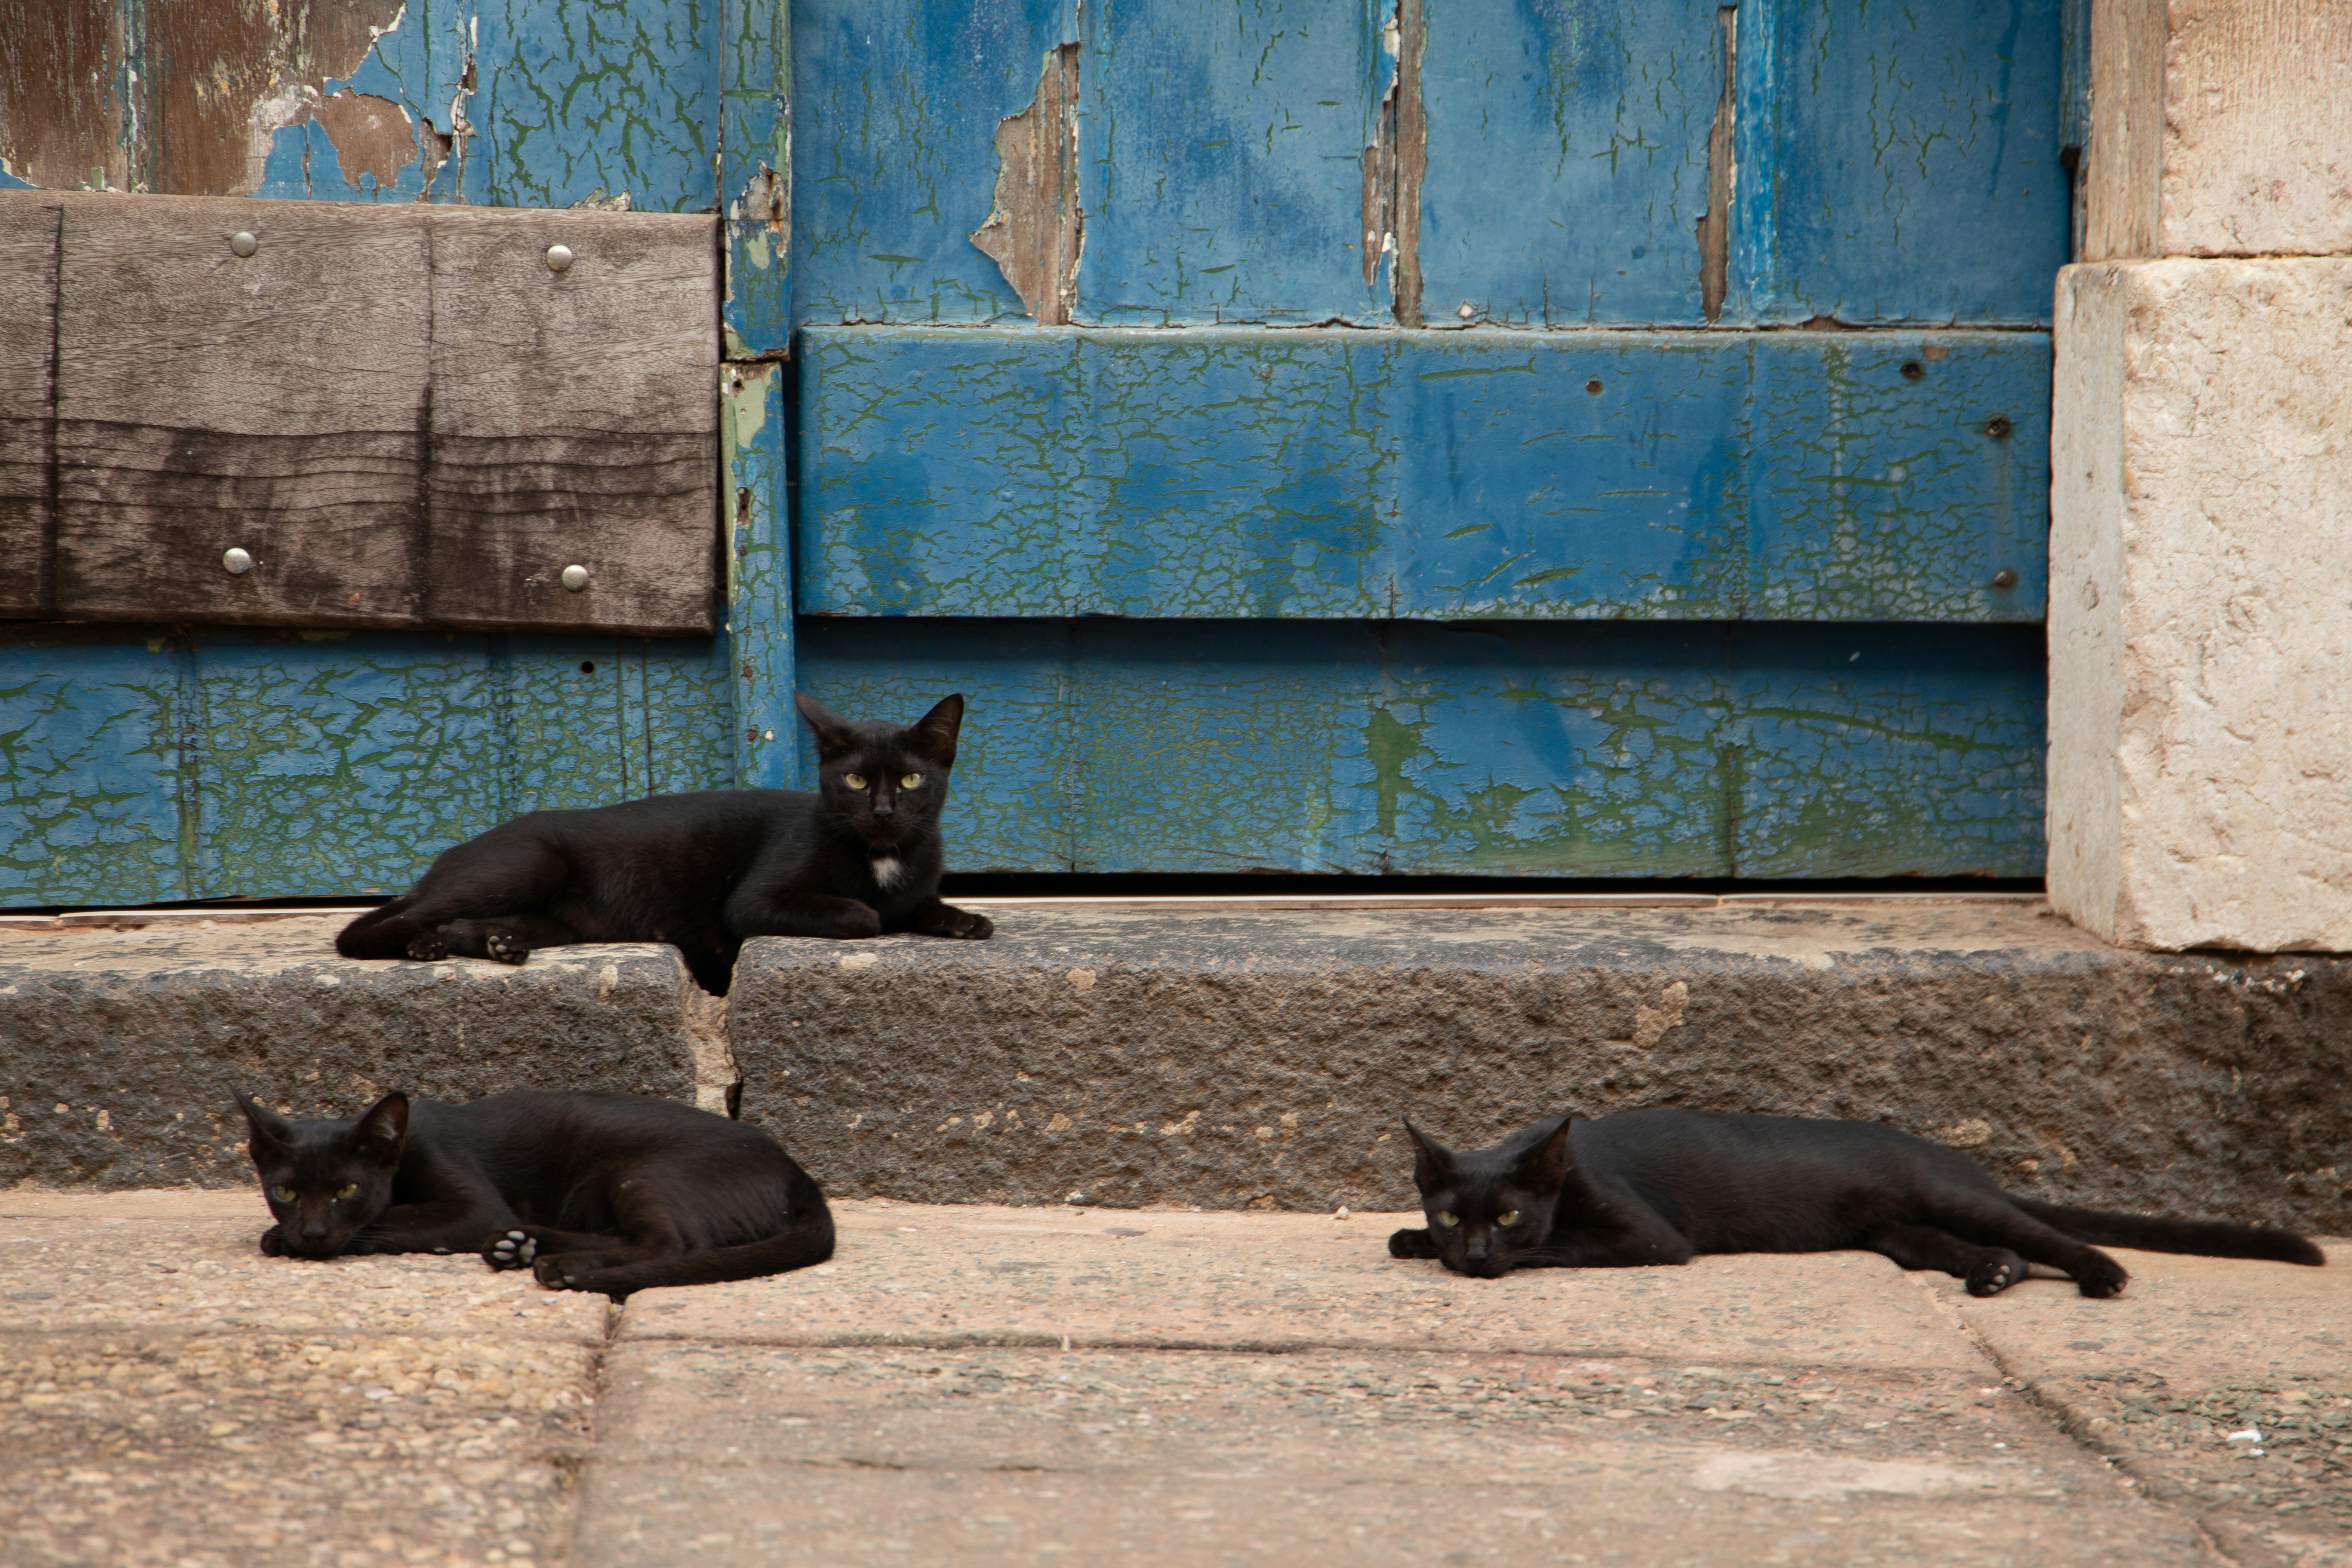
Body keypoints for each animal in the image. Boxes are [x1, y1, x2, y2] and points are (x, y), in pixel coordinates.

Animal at [239, 1090, 837, 1298]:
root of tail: (798, 1173)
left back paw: (563, 1269)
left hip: (646, 1173)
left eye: (347, 1189)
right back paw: (522, 1246)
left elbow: (390, 1219)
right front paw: (285, 1235)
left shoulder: (476, 1208)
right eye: (285, 1190)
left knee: (672, 1245)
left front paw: (282, 1239)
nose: (314, 1233)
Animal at [334, 686, 992, 992]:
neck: (883, 856)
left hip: (560, 921)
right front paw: (879, 910)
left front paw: (963, 920)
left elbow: (917, 904)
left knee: (469, 923)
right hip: (526, 866)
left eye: (910, 781)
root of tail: (450, 856)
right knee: (371, 928)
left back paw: (499, 944)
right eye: (855, 781)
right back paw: (418, 946)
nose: (882, 812)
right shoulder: (754, 901)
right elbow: (866, 915)